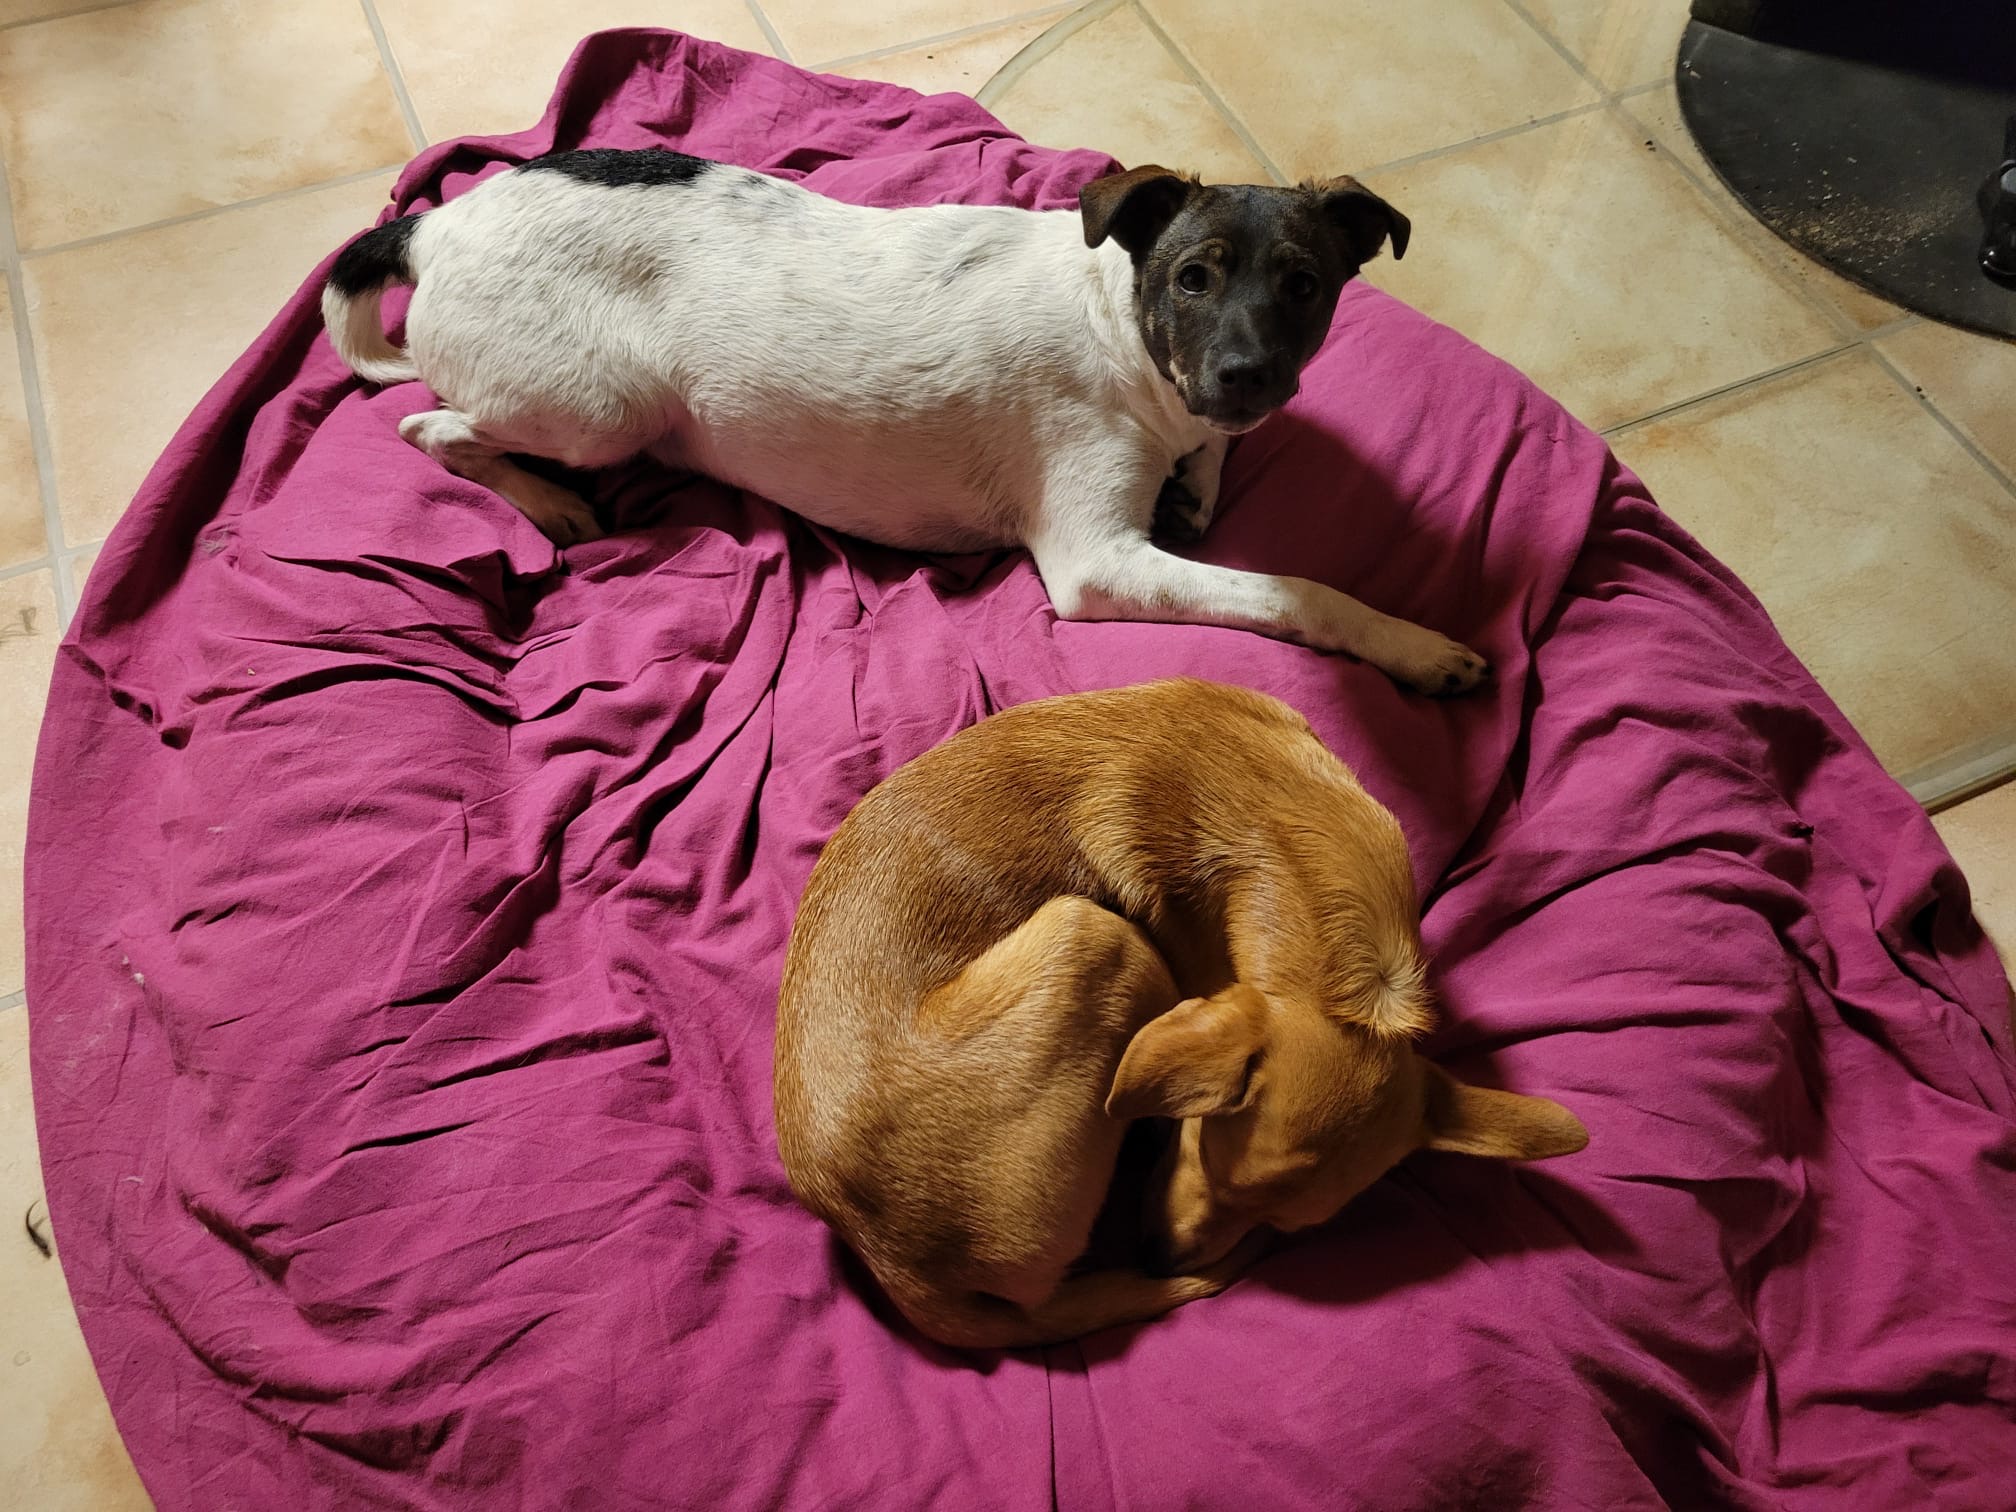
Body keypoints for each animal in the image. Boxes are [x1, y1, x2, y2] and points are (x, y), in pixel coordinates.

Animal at [320, 150, 1489, 696]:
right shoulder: (1097, 561)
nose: (1247, 377)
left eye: (1305, 286)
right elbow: (1300, 591)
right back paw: (549, 502)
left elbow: (1212, 459)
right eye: (1192, 278)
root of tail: (435, 226)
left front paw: (1202, 472)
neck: (1122, 328)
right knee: (434, 433)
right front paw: (1415, 646)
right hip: (603, 406)